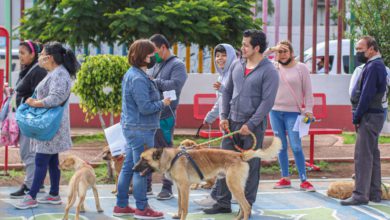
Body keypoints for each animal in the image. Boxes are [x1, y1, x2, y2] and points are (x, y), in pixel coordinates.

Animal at [133, 137, 280, 219]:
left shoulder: (185, 188)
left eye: (144, 160)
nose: (133, 169)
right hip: (236, 187)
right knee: (243, 207)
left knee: (247, 207)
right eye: (140, 158)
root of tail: (240, 155)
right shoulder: (180, 188)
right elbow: (180, 205)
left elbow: (184, 207)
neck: (171, 159)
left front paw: (182, 217)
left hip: (233, 186)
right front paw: (177, 215)